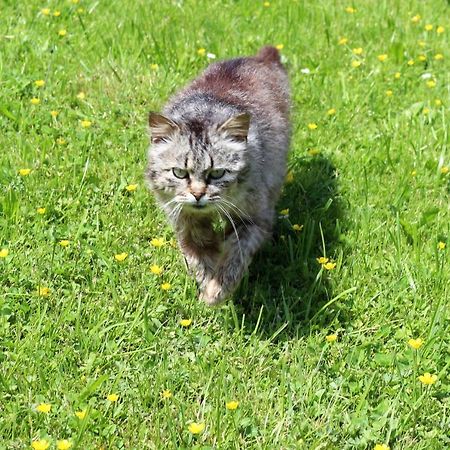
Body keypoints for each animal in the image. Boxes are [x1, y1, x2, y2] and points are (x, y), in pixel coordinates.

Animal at [146, 45, 290, 306]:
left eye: (217, 173)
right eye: (179, 173)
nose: (197, 195)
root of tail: (258, 57)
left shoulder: (255, 220)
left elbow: (235, 256)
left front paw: (217, 291)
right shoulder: (185, 224)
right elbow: (200, 258)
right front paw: (208, 284)